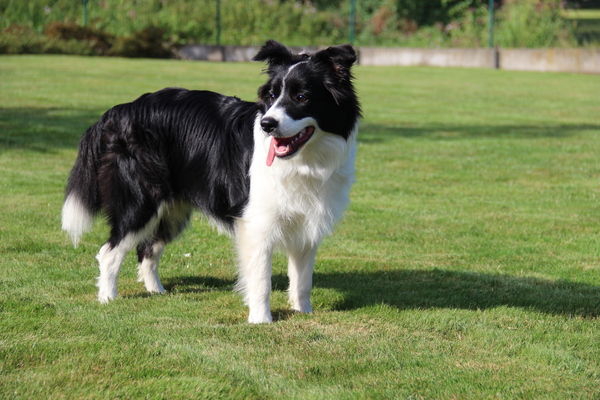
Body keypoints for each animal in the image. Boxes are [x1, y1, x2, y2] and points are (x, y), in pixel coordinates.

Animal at [61, 39, 360, 322]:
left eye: (301, 97)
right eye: (272, 96)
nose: (267, 124)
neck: (305, 161)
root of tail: (120, 111)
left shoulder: (306, 223)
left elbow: (302, 279)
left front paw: (303, 312)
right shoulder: (257, 223)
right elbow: (260, 278)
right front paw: (261, 319)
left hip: (172, 208)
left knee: (147, 248)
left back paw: (156, 291)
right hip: (141, 201)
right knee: (109, 251)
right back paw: (108, 298)